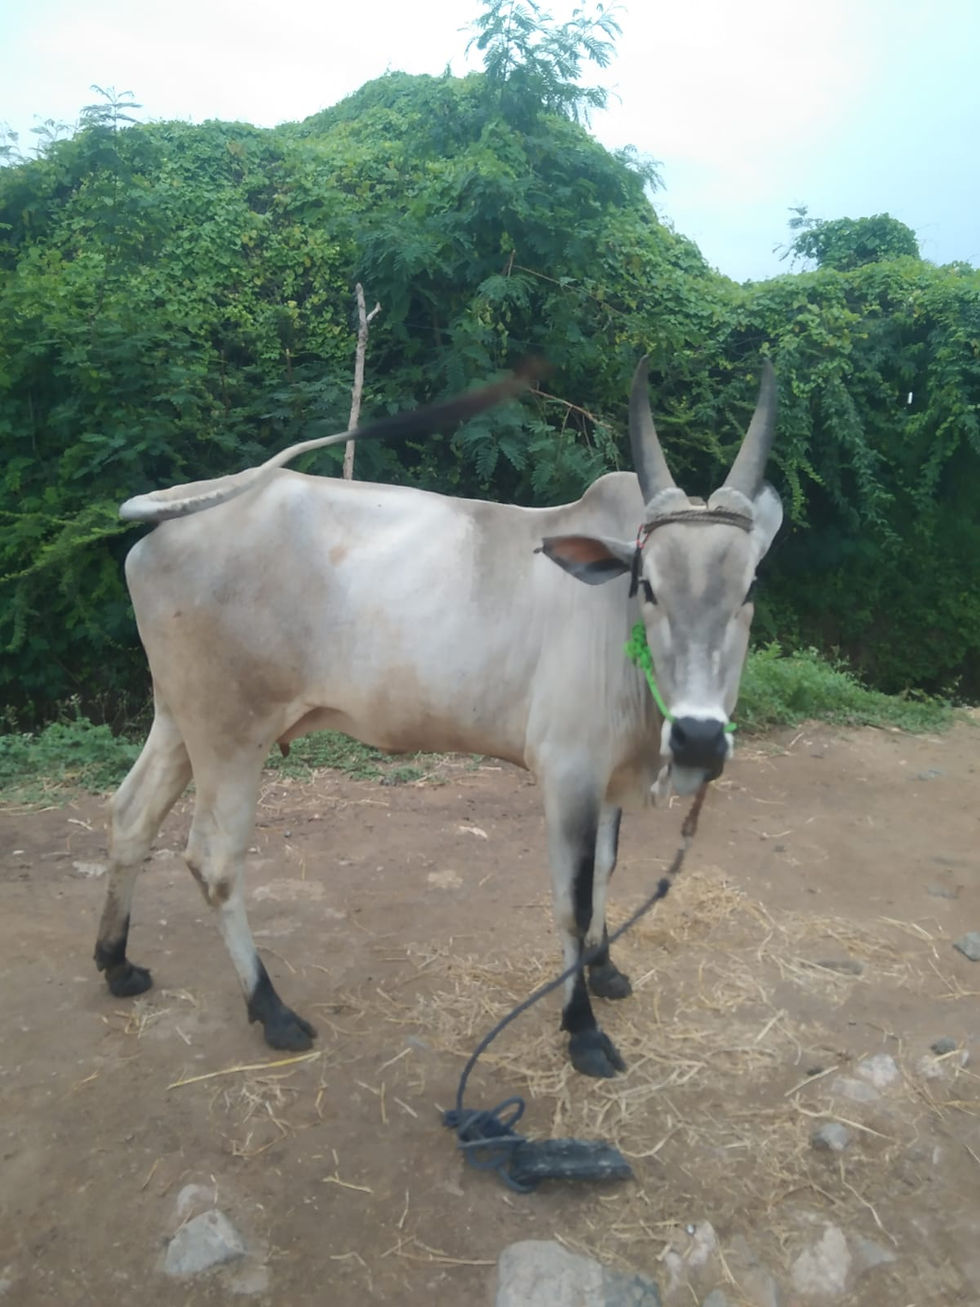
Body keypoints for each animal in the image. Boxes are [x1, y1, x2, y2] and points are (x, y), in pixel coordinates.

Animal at [95, 358, 781, 1078]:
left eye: (750, 587)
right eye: (648, 584)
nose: (700, 739)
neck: (615, 621)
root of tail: (171, 524)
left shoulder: (610, 777)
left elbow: (604, 873)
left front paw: (606, 972)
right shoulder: (569, 771)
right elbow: (573, 900)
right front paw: (582, 1027)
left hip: (180, 720)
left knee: (131, 814)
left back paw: (116, 960)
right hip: (231, 734)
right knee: (214, 859)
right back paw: (271, 1007)